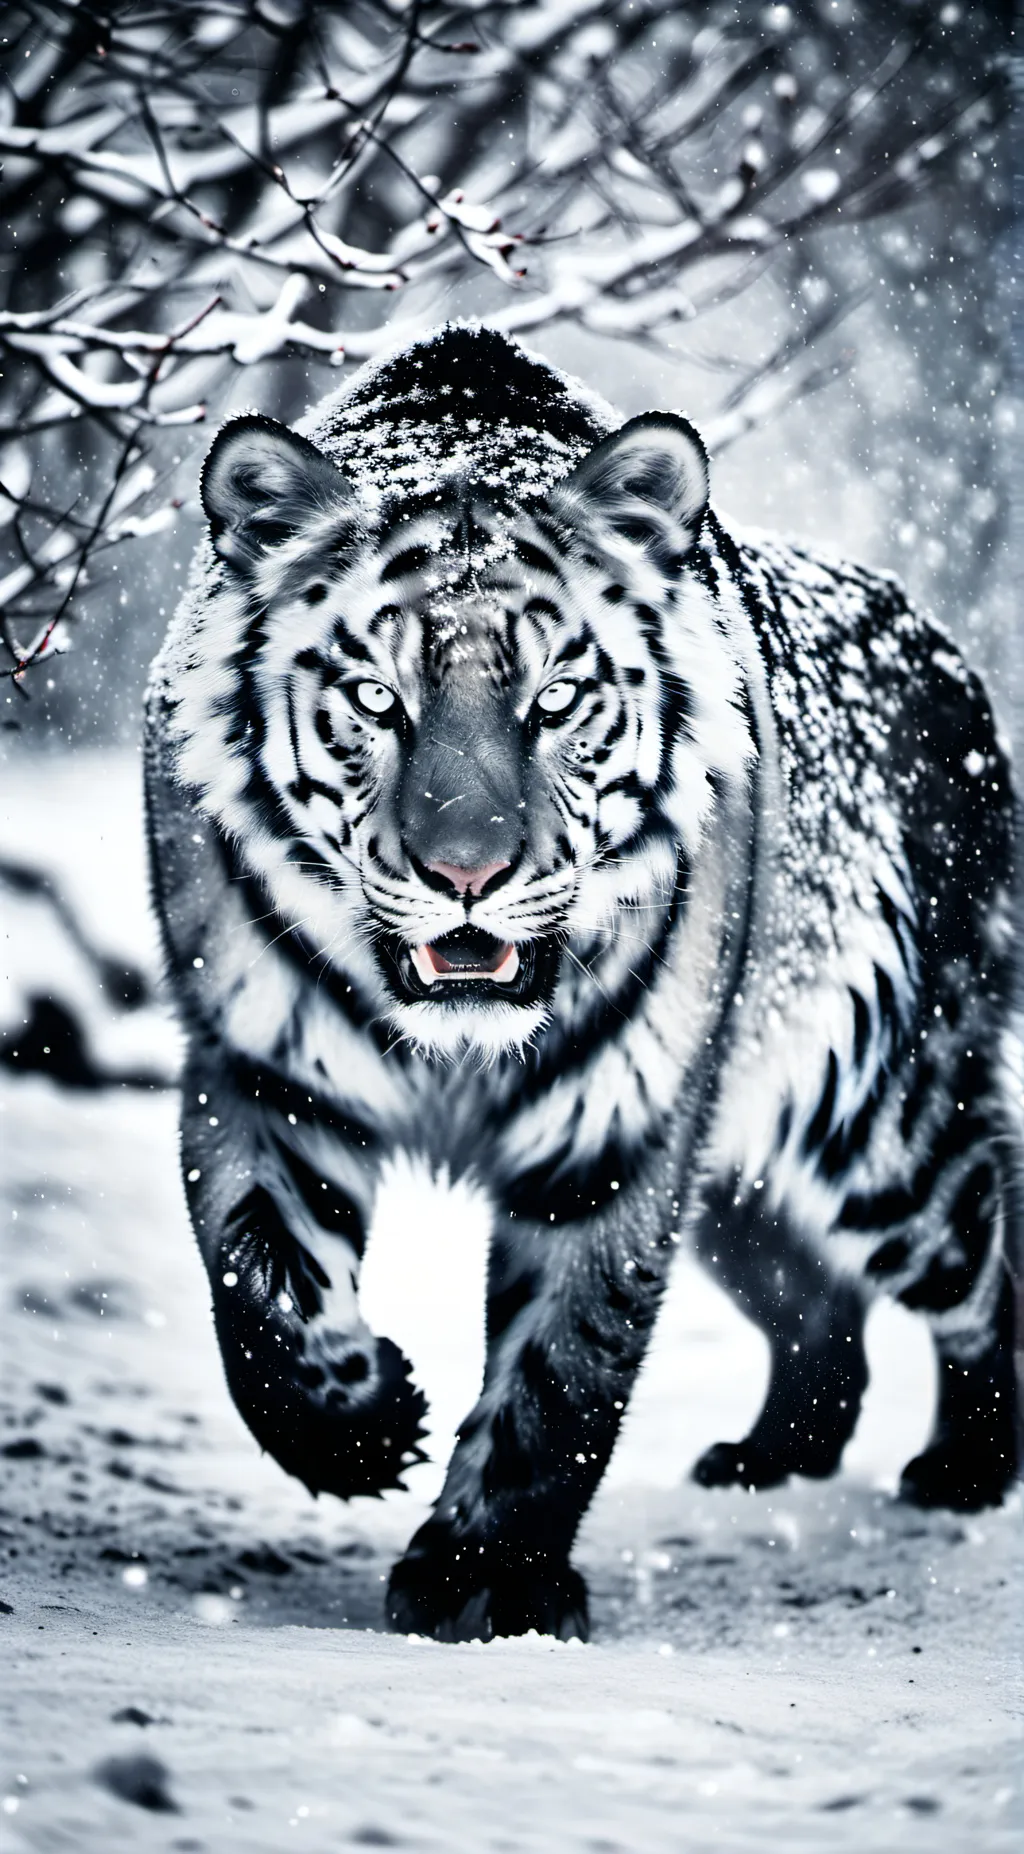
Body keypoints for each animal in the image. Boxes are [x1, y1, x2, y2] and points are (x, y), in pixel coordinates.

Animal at [145, 323, 1020, 1643]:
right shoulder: (260, 1071)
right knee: (819, 1312)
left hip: (884, 1121)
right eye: (376, 699)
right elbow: (256, 1278)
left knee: (986, 1251)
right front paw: (359, 1426)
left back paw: (967, 1470)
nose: (465, 873)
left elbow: (565, 1367)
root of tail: (949, 655)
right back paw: (770, 1458)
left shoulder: (616, 1127)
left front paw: (486, 1579)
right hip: (745, 1177)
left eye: (553, 698)